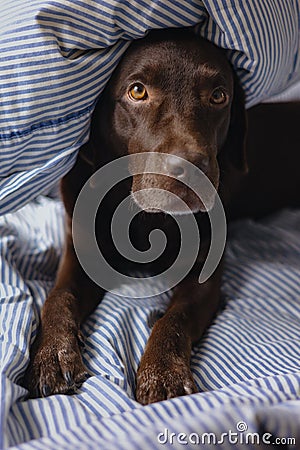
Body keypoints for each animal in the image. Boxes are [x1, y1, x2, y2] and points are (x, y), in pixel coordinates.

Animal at [26, 28, 300, 402]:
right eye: (137, 90)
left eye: (218, 96)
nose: (191, 168)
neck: (145, 217)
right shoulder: (81, 254)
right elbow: (57, 297)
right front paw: (52, 353)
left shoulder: (203, 276)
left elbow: (173, 320)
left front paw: (163, 373)